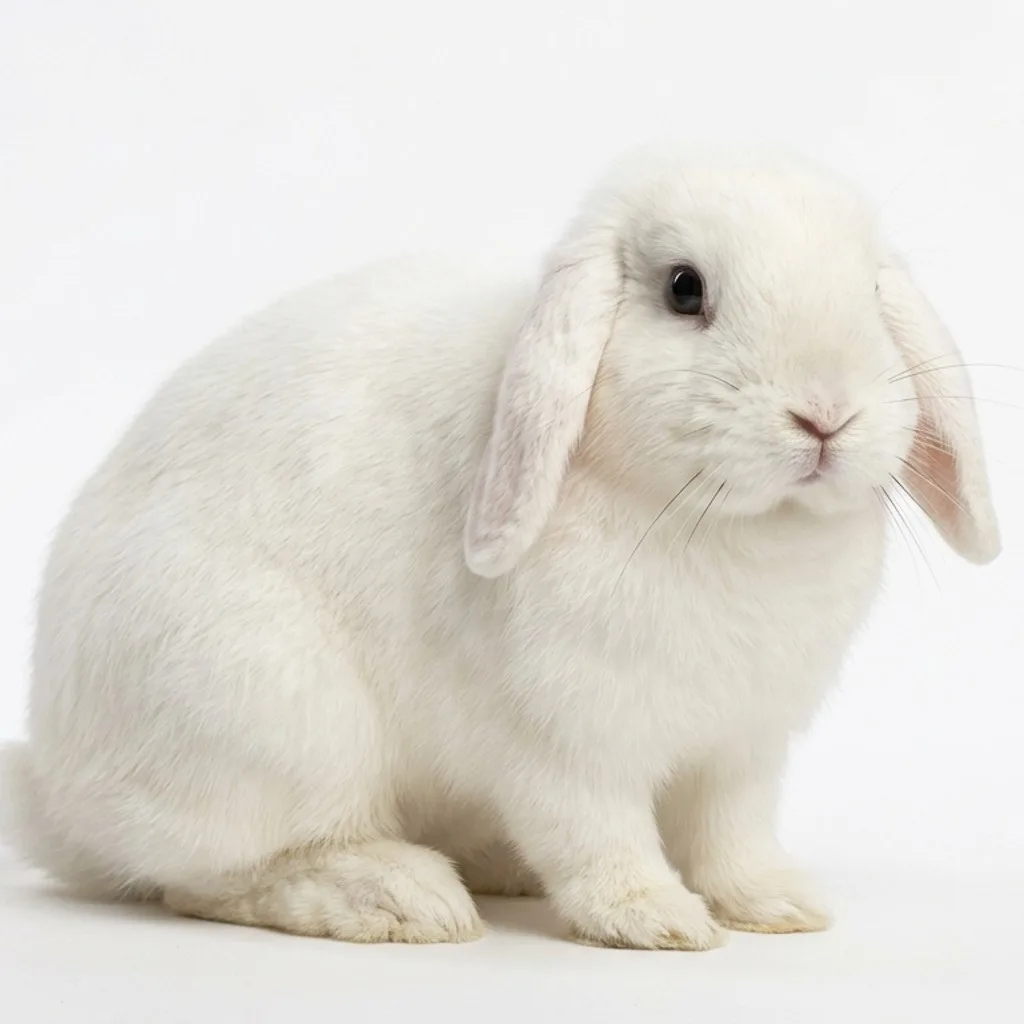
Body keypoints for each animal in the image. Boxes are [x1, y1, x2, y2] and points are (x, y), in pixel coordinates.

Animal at [0, 143, 1000, 950]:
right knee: (211, 875)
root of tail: (56, 795)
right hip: (269, 717)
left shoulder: (743, 747)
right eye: (685, 288)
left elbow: (732, 837)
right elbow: (600, 835)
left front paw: (779, 908)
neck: (726, 525)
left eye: (871, 290)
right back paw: (398, 897)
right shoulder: (567, 741)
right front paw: (656, 920)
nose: (826, 414)